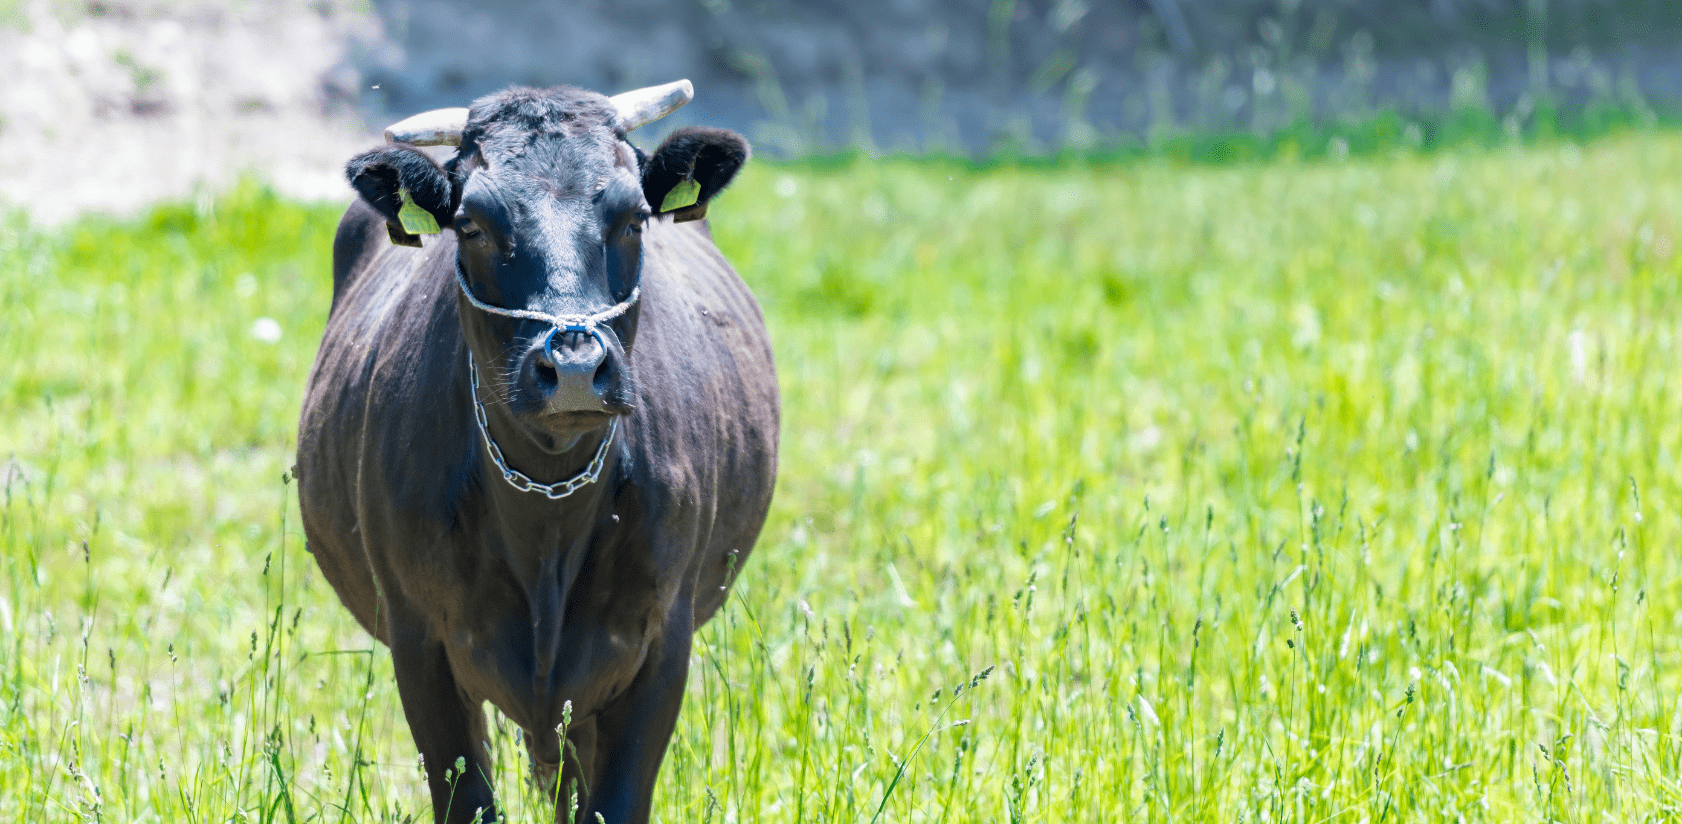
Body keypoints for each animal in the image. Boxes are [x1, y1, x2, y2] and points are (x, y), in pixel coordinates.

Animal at [296, 79, 780, 824]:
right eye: (471, 224)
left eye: (634, 218)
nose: (575, 365)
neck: (547, 517)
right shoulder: (420, 643)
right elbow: (467, 798)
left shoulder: (660, 644)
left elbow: (610, 801)